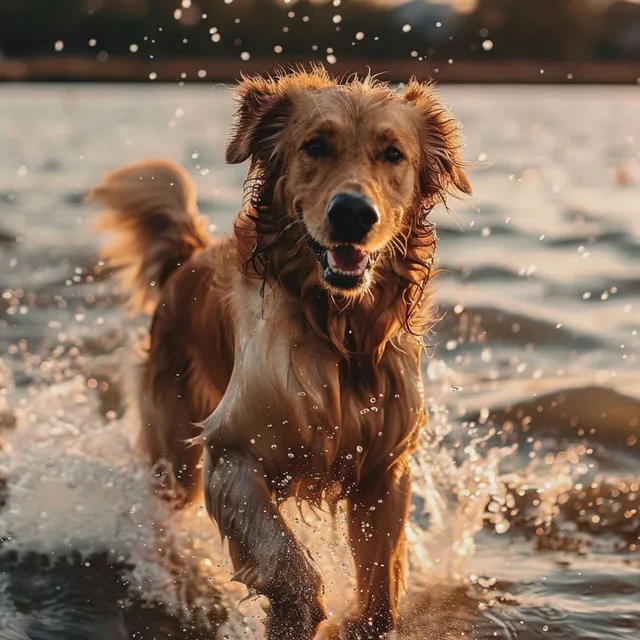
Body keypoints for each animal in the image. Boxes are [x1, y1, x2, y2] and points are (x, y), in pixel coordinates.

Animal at [90, 66, 470, 640]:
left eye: (393, 154)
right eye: (315, 145)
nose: (353, 213)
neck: (338, 331)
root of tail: (188, 259)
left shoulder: (384, 470)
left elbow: (380, 603)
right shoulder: (230, 452)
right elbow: (291, 576)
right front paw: (295, 616)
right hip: (174, 452)